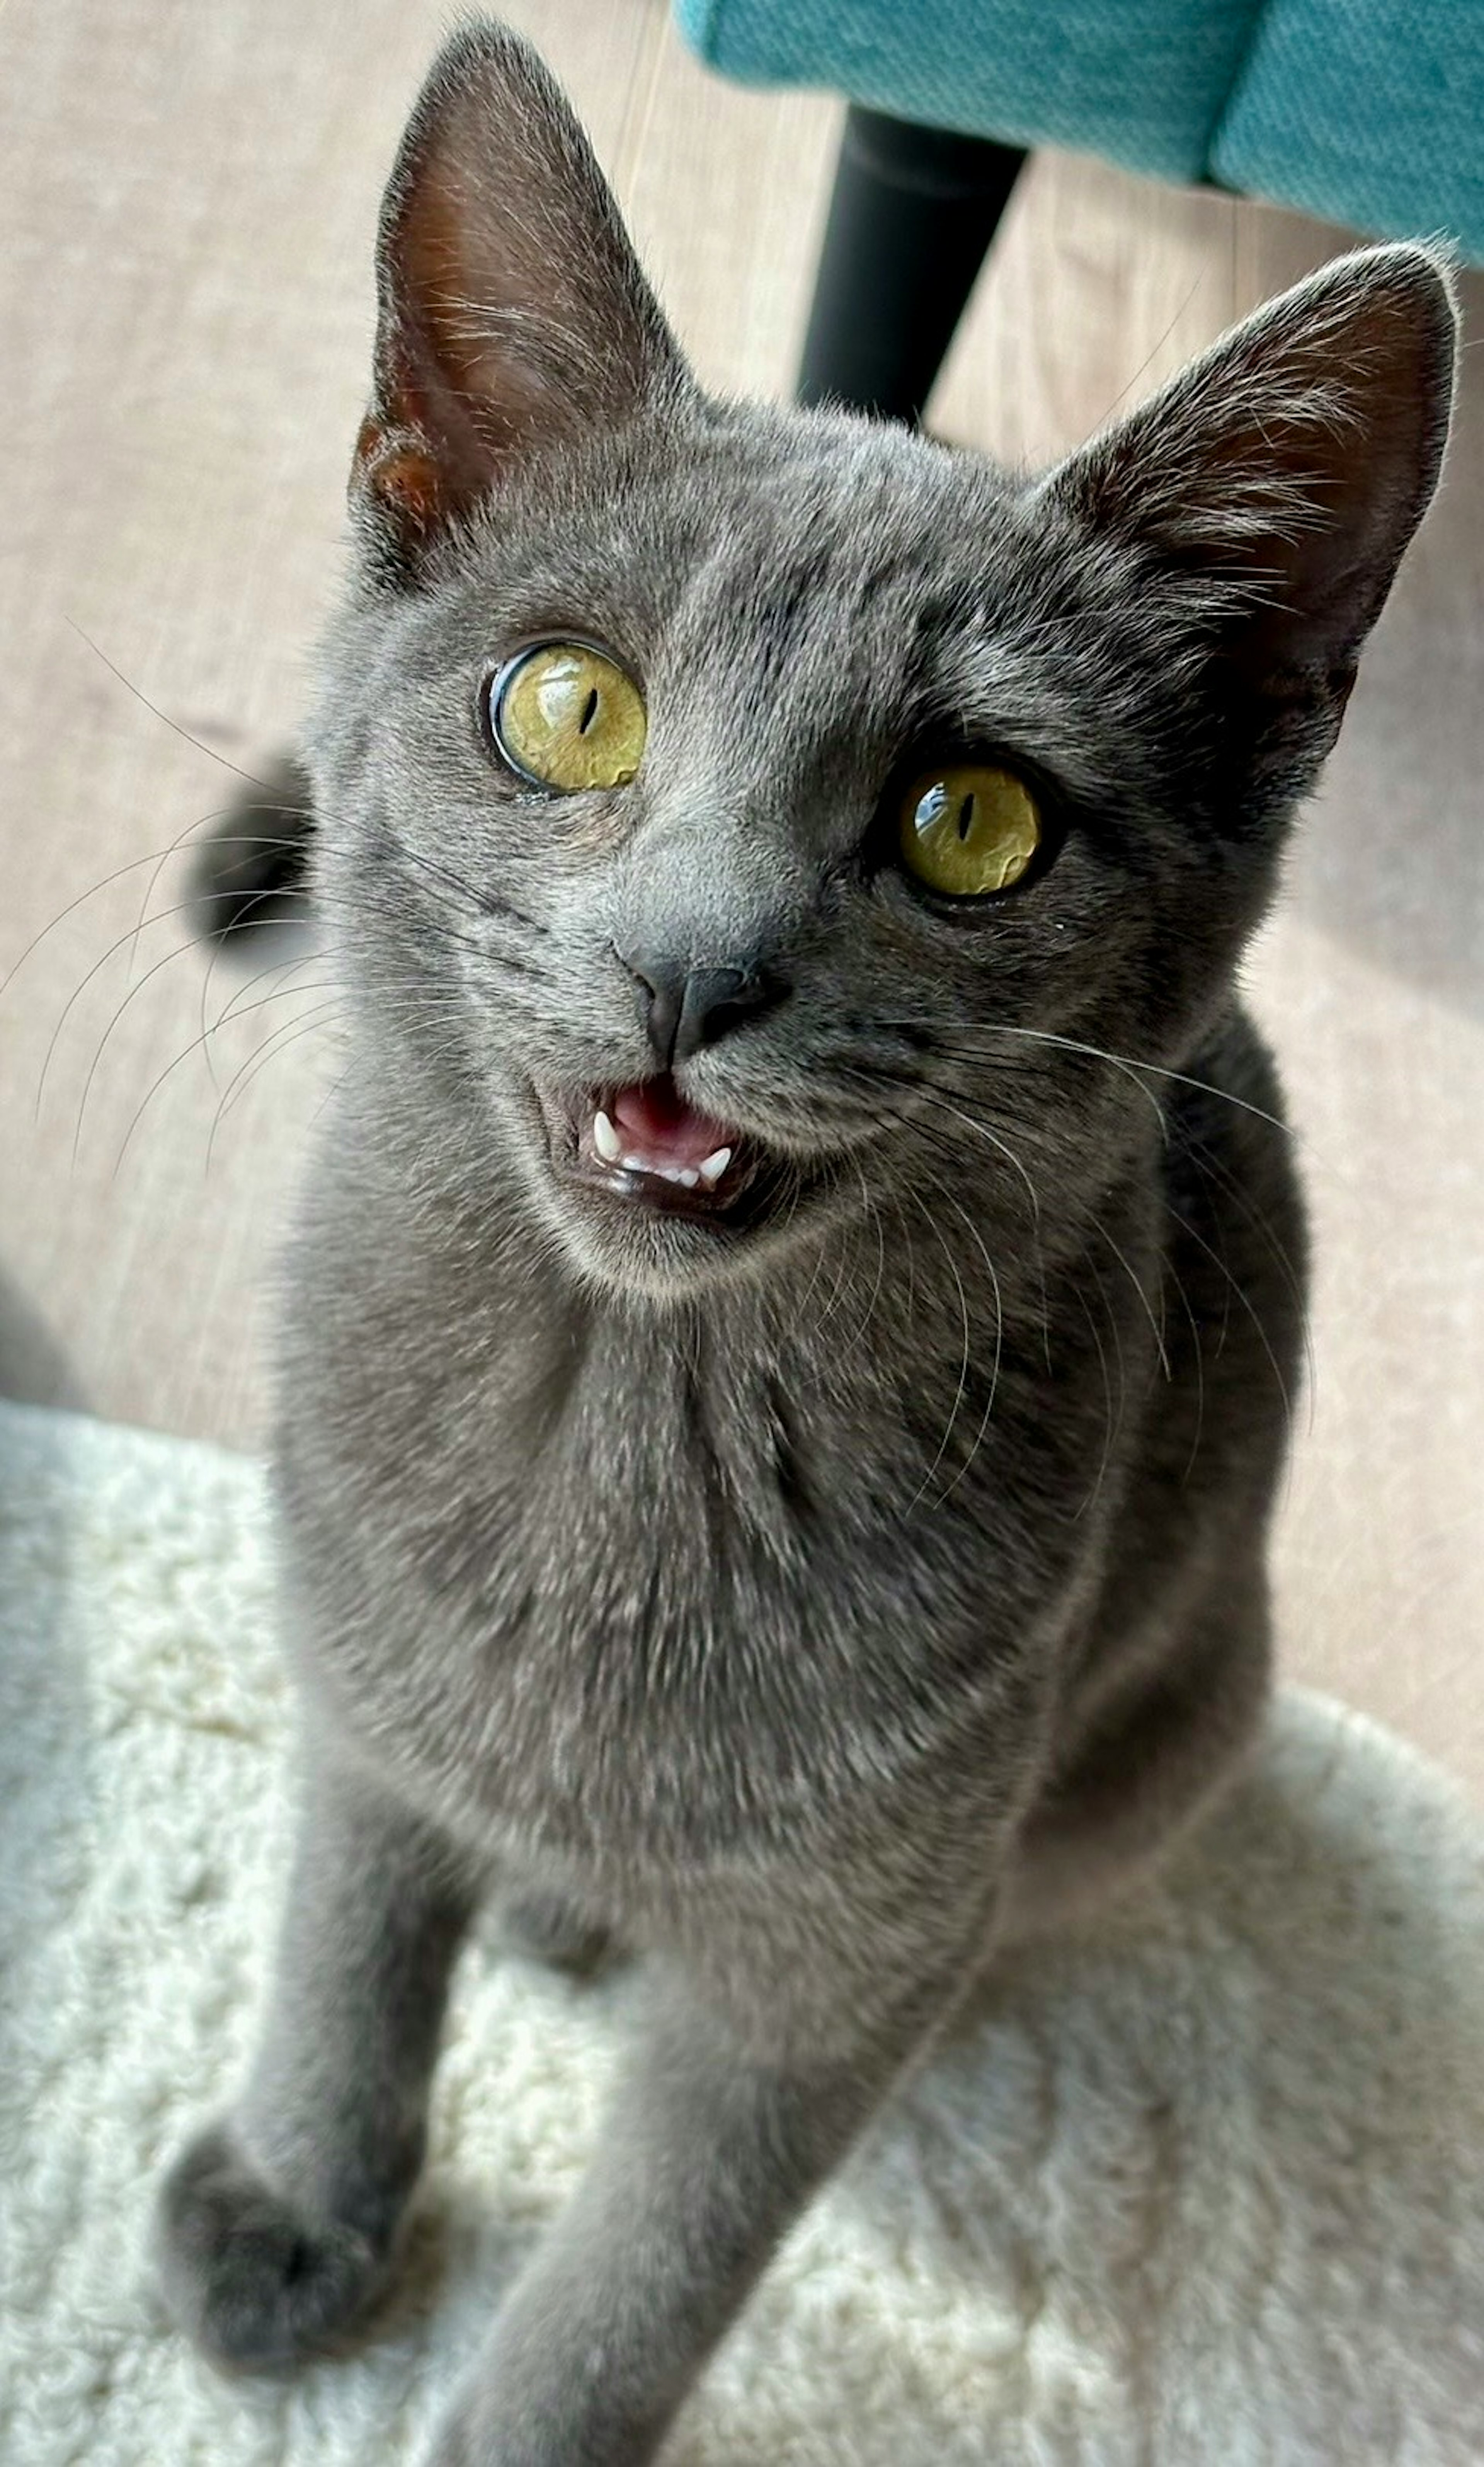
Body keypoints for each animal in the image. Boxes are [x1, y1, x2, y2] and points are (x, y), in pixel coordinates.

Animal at [156, 24, 1449, 2467]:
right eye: (570, 704)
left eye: (972, 823)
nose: (693, 963)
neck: (614, 1424)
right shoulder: (354, 1681)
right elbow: (343, 1945)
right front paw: (295, 2195)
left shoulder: (835, 1963)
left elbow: (649, 2263)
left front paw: (507, 2418)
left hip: (1161, 1728)